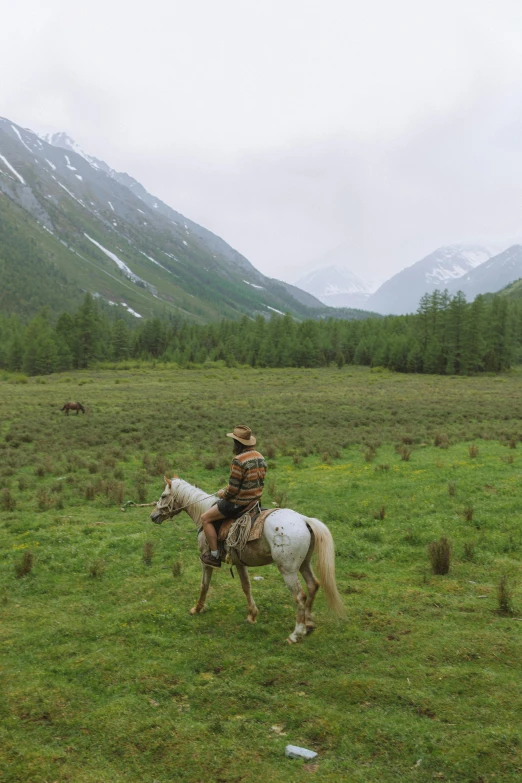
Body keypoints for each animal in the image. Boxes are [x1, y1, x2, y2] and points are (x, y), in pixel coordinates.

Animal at [150, 478, 346, 644]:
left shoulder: (205, 561)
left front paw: (197, 609)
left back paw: (296, 634)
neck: (203, 512)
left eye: (163, 496)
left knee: (300, 596)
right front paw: (252, 615)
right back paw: (309, 624)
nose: (153, 516)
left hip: (288, 569)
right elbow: (246, 587)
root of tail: (304, 520)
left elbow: (204, 585)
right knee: (313, 585)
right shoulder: (239, 563)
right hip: (304, 563)